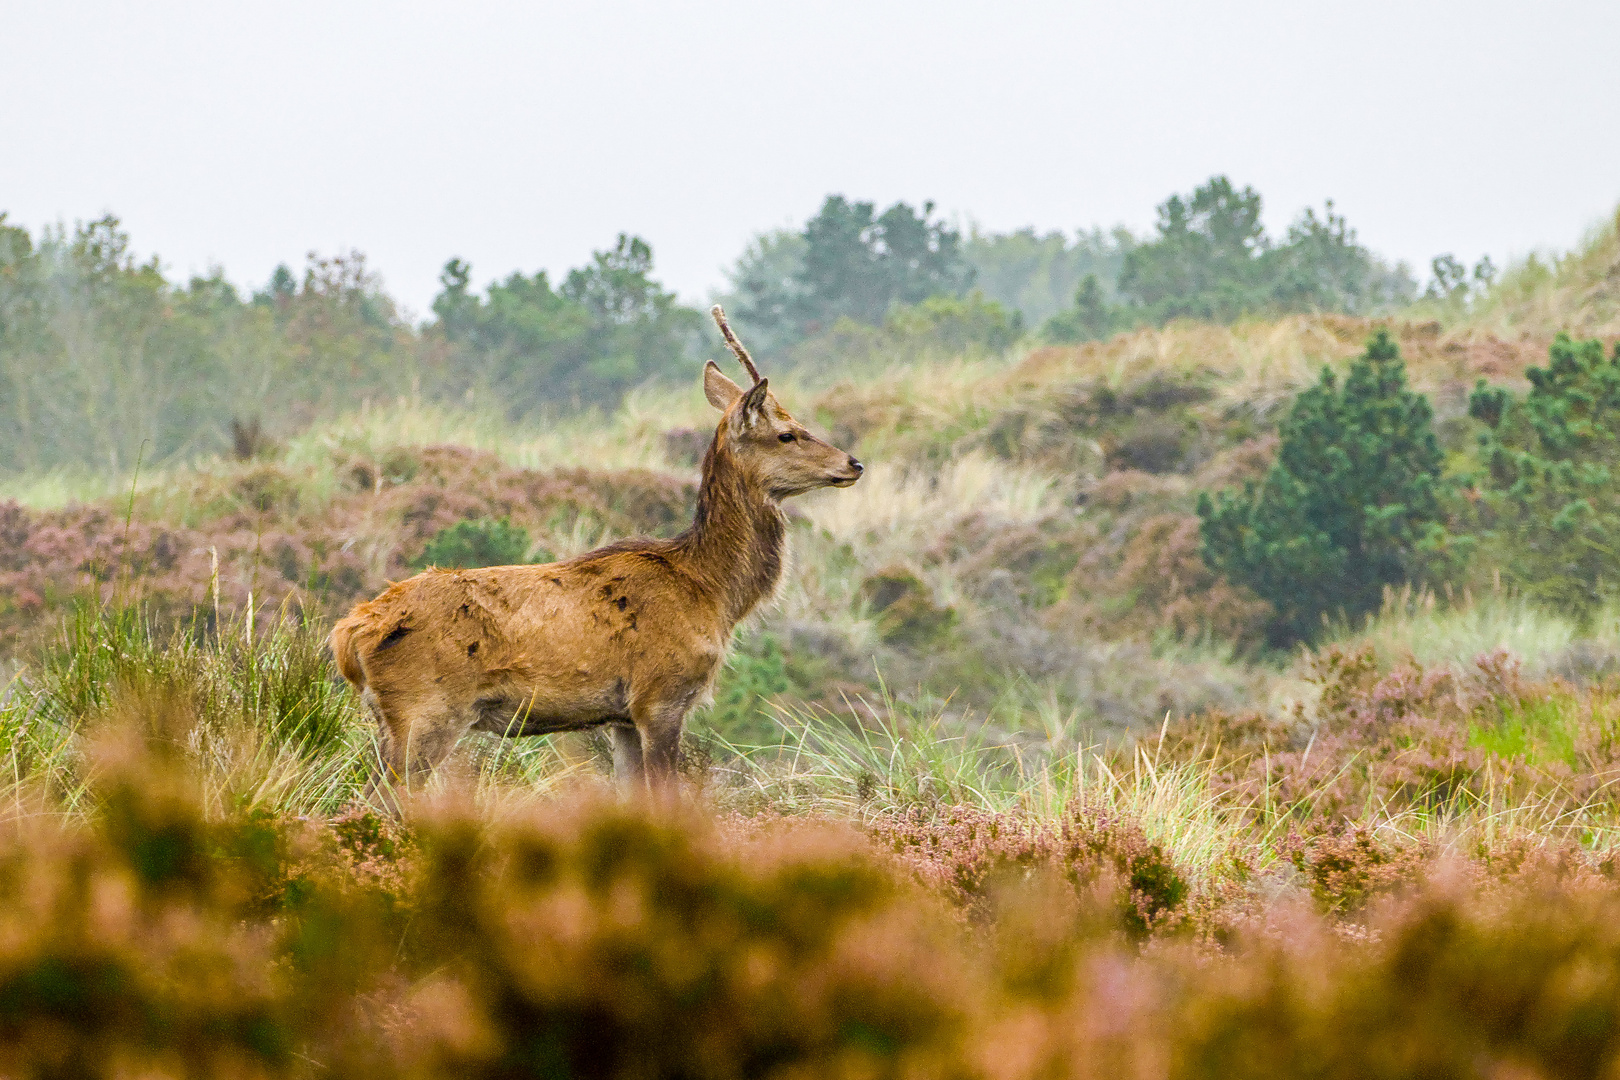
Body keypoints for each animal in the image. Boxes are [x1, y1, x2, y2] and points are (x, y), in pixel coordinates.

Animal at [327, 304, 861, 803]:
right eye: (787, 433)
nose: (853, 463)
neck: (711, 592)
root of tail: (349, 634)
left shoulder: (620, 716)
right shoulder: (660, 695)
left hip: (393, 717)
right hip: (426, 709)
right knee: (379, 800)